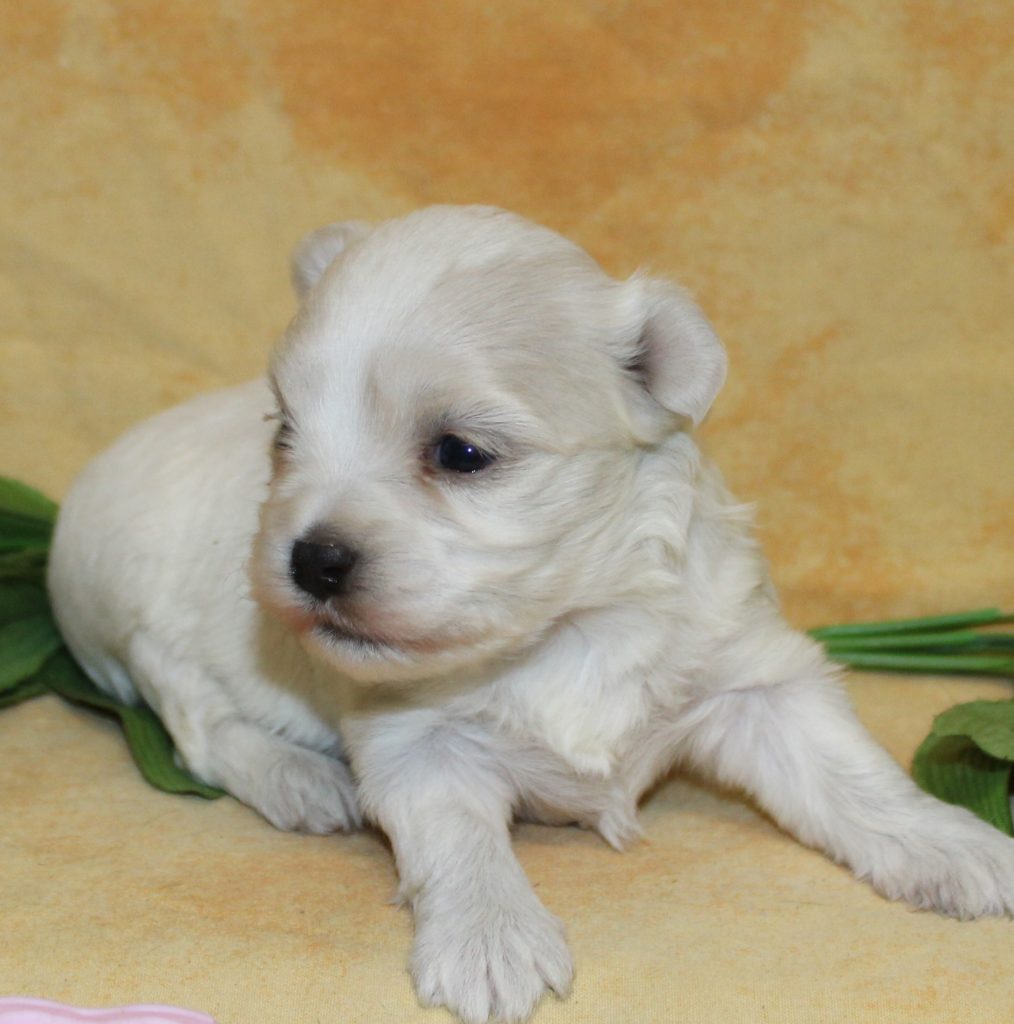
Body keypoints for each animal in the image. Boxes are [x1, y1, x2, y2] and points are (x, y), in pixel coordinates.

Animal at [48, 206, 1014, 1023]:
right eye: (285, 434)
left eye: (460, 453)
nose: (310, 559)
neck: (566, 627)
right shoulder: (415, 739)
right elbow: (458, 842)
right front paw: (490, 940)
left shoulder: (755, 676)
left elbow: (851, 773)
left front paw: (954, 843)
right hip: (146, 630)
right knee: (198, 726)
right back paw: (299, 779)